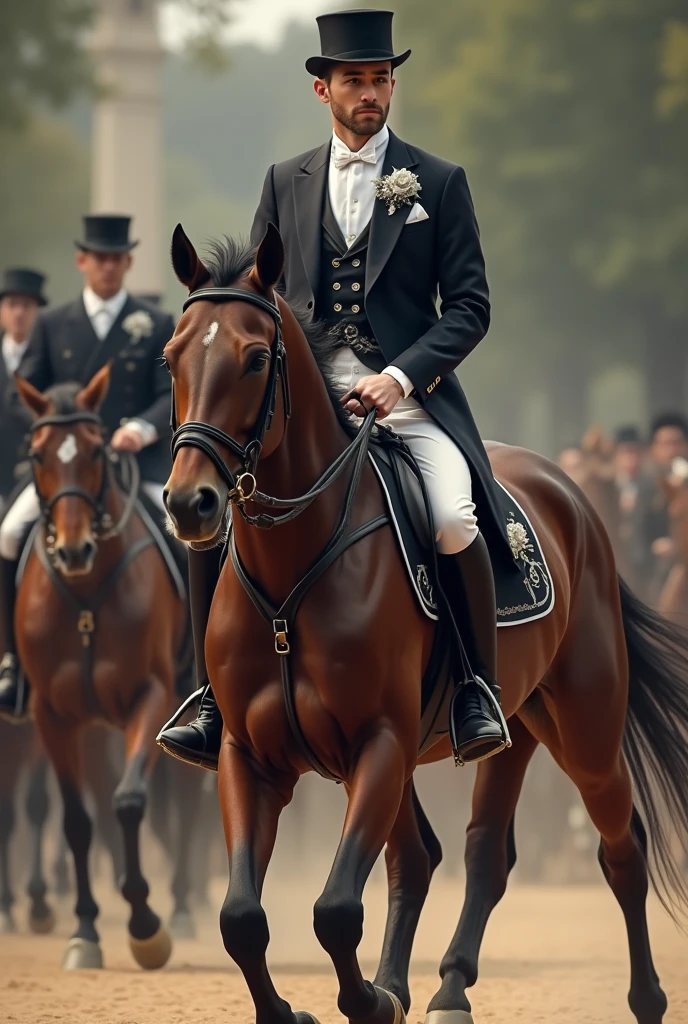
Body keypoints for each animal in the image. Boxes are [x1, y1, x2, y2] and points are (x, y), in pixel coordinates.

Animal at [12, 368, 198, 966]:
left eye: (97, 451)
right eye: (38, 454)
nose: (74, 551)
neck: (87, 597)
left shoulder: (152, 696)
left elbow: (129, 799)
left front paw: (145, 925)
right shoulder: (52, 716)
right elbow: (75, 819)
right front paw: (85, 931)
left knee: (184, 806)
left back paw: (181, 907)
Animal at [162, 228, 688, 1024]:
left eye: (255, 358)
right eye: (171, 356)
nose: (189, 502)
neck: (293, 570)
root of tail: (571, 495)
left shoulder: (381, 741)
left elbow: (335, 910)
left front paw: (369, 1001)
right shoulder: (249, 756)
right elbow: (242, 918)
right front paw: (309, 1006)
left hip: (586, 728)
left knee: (619, 846)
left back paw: (645, 997)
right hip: (513, 729)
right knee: (461, 855)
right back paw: (441, 986)